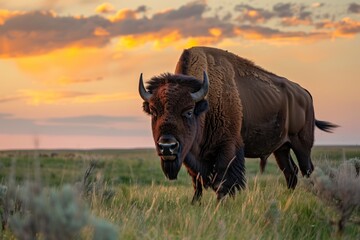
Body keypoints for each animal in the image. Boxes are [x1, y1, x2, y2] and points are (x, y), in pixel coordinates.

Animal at [139, 46, 338, 202]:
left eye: (188, 111)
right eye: (154, 111)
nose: (167, 146)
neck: (205, 104)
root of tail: (304, 93)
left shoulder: (227, 147)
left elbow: (225, 178)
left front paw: (222, 202)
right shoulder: (190, 155)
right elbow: (197, 181)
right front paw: (195, 203)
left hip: (302, 145)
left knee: (307, 170)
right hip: (281, 148)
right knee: (291, 172)